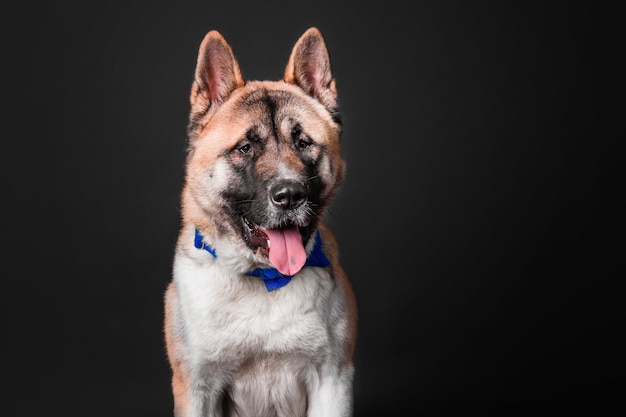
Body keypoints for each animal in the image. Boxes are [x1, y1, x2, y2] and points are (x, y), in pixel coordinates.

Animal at [162, 27, 356, 414]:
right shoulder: (197, 387)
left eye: (303, 143)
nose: (290, 195)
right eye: (245, 148)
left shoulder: (333, 380)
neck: (263, 280)